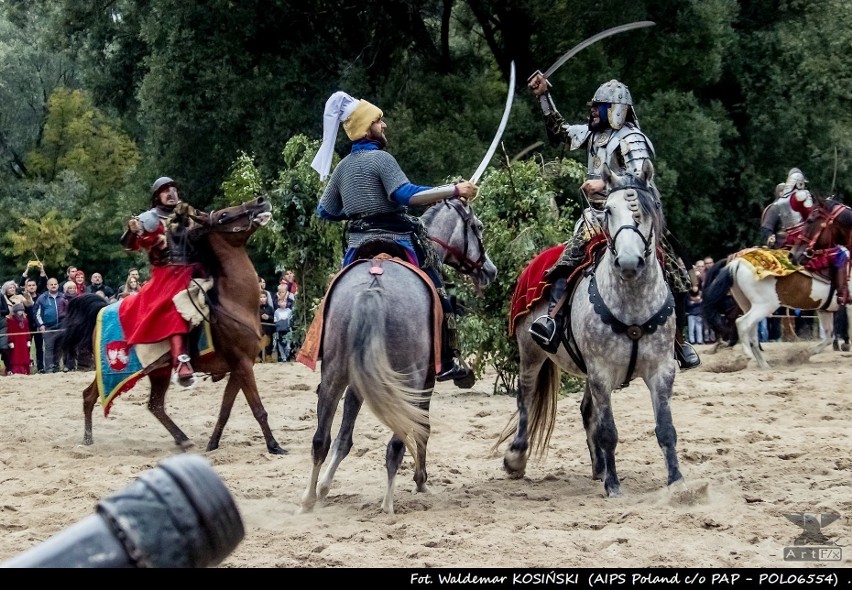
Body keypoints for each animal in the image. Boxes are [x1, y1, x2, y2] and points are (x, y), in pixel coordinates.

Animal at [61, 197, 286, 456]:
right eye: (223, 215)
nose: (260, 202)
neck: (234, 301)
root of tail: (102, 309)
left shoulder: (239, 368)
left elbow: (225, 410)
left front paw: (213, 444)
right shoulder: (242, 364)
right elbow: (258, 409)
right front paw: (274, 446)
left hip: (158, 370)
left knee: (151, 405)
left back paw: (180, 438)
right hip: (114, 371)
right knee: (94, 396)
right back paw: (88, 440)